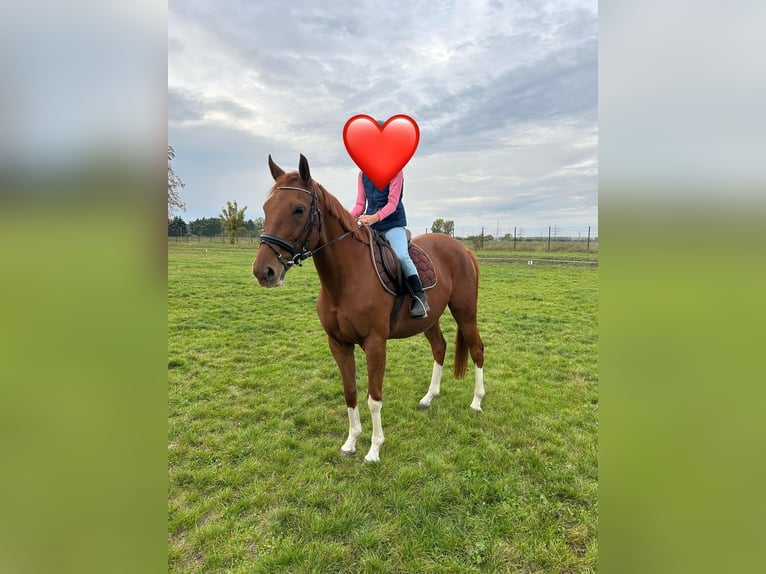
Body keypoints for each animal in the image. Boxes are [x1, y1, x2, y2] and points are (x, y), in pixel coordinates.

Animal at [252, 154, 485, 462]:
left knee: (477, 349)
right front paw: (351, 442)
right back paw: (429, 397)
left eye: (299, 209)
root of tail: (462, 249)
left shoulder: (375, 345)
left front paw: (374, 449)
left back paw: (477, 402)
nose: (263, 271)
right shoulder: (338, 344)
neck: (346, 280)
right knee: (440, 347)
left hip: (465, 312)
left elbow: (374, 398)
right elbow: (350, 392)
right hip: (429, 319)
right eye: (267, 208)